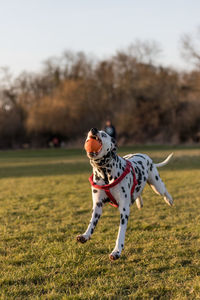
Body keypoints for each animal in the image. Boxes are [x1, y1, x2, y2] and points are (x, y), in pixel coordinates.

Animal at [76, 127, 173, 258]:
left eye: (104, 134)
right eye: (88, 135)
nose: (93, 130)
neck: (105, 172)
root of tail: (145, 156)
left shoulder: (124, 210)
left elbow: (120, 232)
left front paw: (116, 251)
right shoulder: (97, 206)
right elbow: (92, 223)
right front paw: (85, 236)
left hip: (156, 185)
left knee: (164, 191)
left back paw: (169, 200)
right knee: (138, 192)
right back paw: (139, 202)